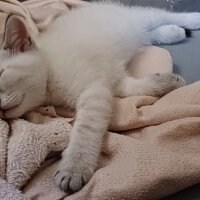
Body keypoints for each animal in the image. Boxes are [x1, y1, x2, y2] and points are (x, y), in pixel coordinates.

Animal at [0, 1, 200, 192]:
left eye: (1, 74)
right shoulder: (110, 82)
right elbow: (134, 88)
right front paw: (169, 81)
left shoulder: (94, 90)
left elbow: (85, 130)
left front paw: (74, 168)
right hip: (135, 33)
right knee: (149, 34)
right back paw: (175, 32)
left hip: (140, 18)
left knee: (163, 15)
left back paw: (193, 20)